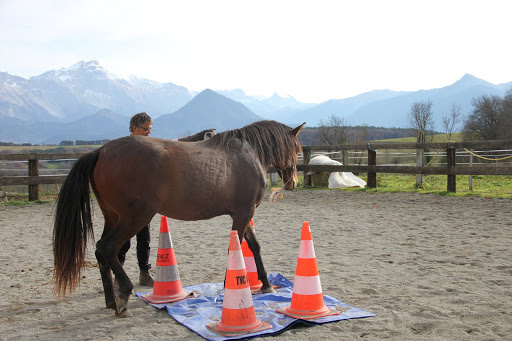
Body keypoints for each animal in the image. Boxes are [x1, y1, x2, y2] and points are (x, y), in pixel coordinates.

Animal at [53, 120, 304, 316]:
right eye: (297, 149)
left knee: (101, 253)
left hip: (113, 217)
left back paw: (110, 301)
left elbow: (255, 246)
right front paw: (231, 286)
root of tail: (101, 151)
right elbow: (237, 250)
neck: (248, 155)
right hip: (135, 217)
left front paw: (267, 285)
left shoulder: (243, 213)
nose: (293, 182)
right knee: (107, 248)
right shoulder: (244, 213)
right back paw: (123, 296)